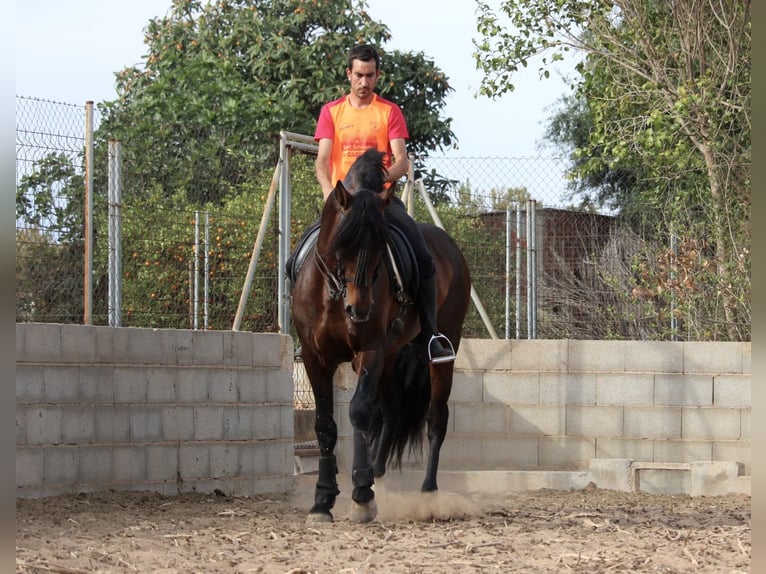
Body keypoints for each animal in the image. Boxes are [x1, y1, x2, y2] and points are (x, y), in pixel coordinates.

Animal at [292, 150, 474, 528]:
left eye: (380, 248)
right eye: (341, 245)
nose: (359, 309)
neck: (332, 294)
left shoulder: (369, 350)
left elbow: (359, 411)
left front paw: (361, 495)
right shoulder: (317, 359)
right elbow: (325, 425)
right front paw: (322, 501)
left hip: (440, 346)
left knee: (436, 419)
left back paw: (427, 495)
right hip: (391, 355)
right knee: (391, 410)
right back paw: (376, 470)